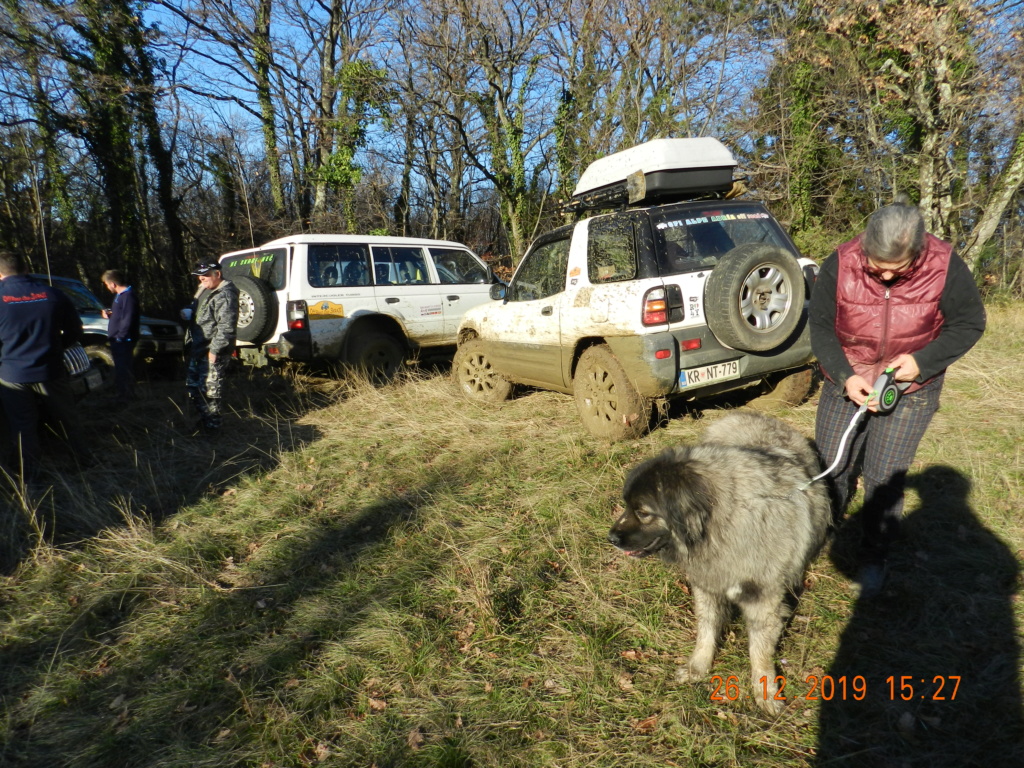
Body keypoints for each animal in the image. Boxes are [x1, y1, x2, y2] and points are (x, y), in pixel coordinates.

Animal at [606, 411, 831, 712]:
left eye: (642, 512)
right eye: (628, 506)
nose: (611, 538)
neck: (718, 524)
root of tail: (751, 414)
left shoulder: (763, 599)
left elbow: (759, 650)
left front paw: (765, 691)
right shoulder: (707, 585)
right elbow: (707, 628)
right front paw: (698, 667)